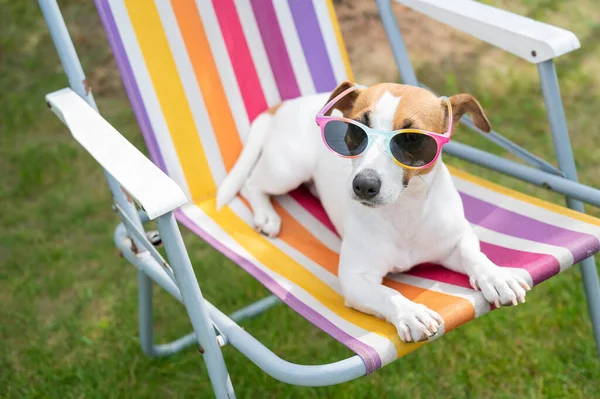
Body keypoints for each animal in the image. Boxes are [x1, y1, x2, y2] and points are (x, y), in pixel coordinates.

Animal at [217, 82, 528, 344]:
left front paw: (495, 276)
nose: (364, 185)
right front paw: (410, 313)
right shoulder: (355, 279)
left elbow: (473, 254)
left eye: (412, 139)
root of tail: (288, 104)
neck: (403, 210)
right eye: (355, 131)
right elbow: (388, 294)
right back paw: (266, 215)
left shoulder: (455, 241)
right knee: (251, 183)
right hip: (288, 169)